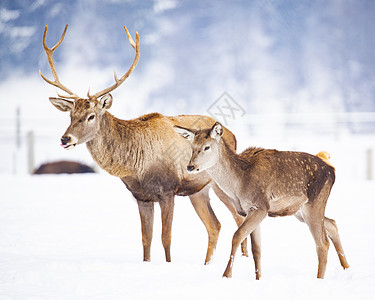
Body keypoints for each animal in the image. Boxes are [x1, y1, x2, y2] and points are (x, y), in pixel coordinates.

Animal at [39, 25, 254, 264]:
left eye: (91, 116)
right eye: (71, 115)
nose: (65, 139)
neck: (136, 166)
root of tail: (232, 135)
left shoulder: (168, 190)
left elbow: (165, 238)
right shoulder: (141, 196)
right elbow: (146, 239)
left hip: (221, 184)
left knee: (237, 218)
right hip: (198, 191)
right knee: (215, 225)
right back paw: (207, 263)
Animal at [176, 122, 350, 278]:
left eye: (207, 147)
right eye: (192, 147)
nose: (190, 167)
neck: (238, 185)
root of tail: (332, 169)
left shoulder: (260, 206)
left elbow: (237, 236)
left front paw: (226, 275)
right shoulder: (249, 211)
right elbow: (257, 249)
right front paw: (258, 278)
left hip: (314, 201)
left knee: (322, 243)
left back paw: (319, 278)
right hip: (299, 211)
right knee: (332, 223)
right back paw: (346, 268)